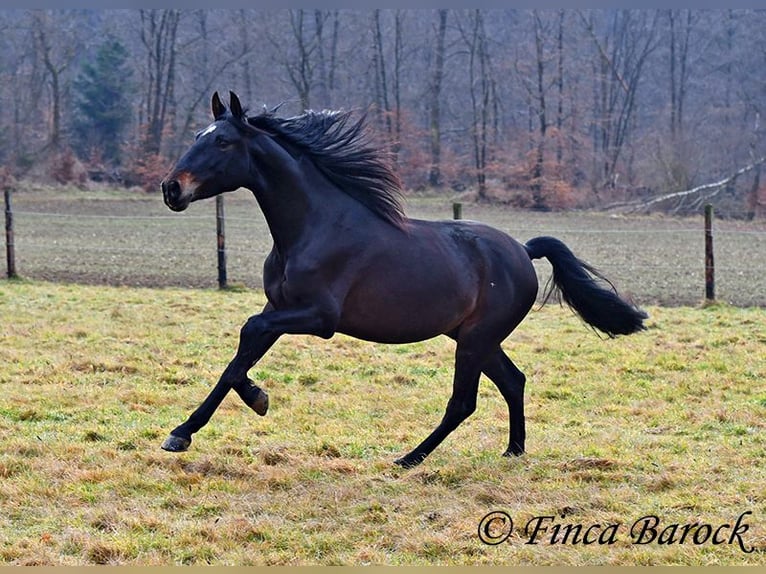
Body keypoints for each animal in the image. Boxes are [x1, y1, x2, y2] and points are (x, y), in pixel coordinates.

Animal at [160, 90, 648, 468]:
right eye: (198, 136)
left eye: (223, 142)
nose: (172, 188)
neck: (314, 227)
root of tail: (524, 251)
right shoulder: (279, 308)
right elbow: (240, 357)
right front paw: (192, 427)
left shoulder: (318, 318)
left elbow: (247, 336)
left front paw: (242, 405)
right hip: (474, 337)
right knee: (513, 381)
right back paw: (513, 451)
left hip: (476, 339)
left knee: (464, 401)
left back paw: (410, 458)